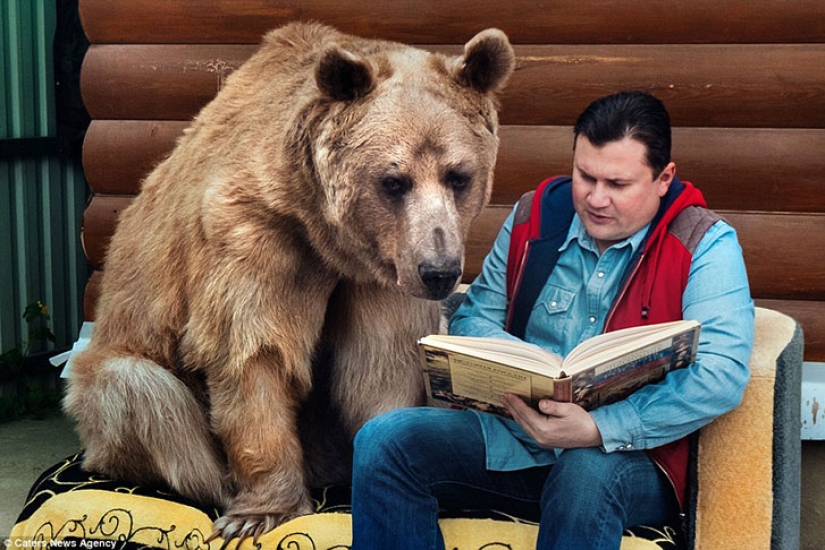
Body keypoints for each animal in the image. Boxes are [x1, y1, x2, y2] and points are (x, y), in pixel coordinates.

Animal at [63, 22, 515, 542]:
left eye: (458, 175)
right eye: (393, 180)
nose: (438, 271)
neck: (324, 233)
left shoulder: (382, 275)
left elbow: (379, 363)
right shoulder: (254, 234)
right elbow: (252, 350)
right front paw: (260, 510)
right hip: (119, 368)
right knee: (144, 394)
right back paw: (219, 485)